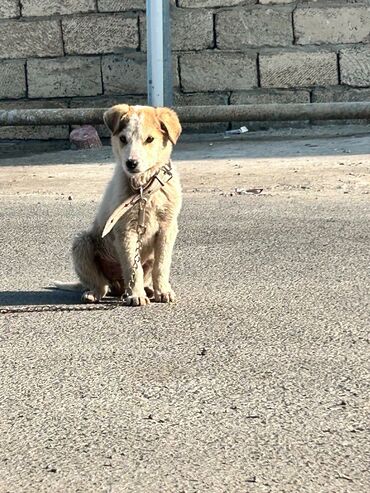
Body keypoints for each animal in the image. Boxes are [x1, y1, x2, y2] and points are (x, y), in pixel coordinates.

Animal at [66, 103, 184, 304]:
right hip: (82, 243)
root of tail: (119, 287)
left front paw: (163, 291)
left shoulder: (167, 228)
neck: (144, 188)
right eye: (123, 139)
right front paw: (136, 295)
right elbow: (132, 267)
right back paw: (95, 293)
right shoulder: (125, 230)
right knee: (100, 283)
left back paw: (148, 289)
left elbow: (161, 265)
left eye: (150, 139)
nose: (131, 163)